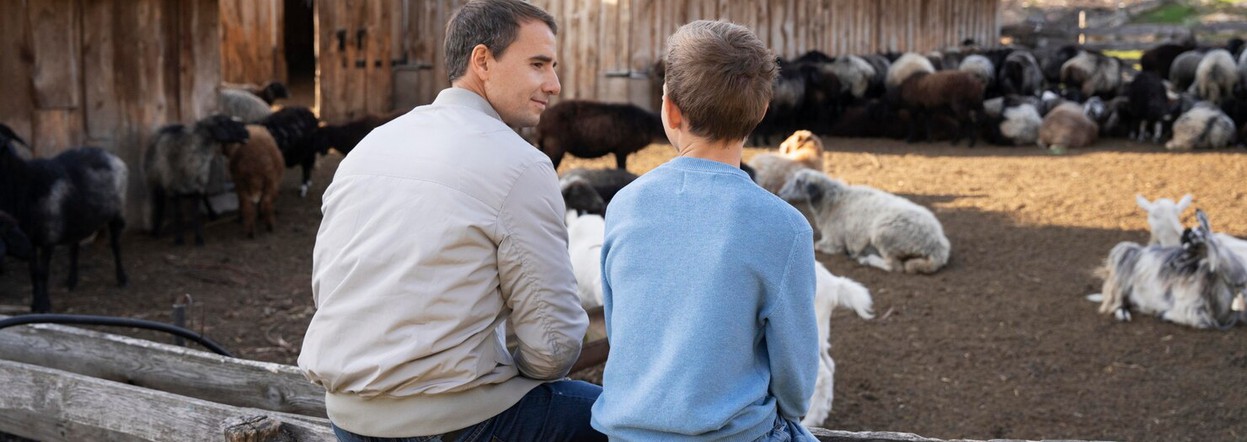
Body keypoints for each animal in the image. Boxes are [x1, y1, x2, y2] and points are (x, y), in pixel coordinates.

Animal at [0, 122, 128, 312]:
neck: (24, 185)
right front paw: (35, 304)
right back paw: (71, 281)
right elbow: (33, 273)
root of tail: (109, 154)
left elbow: (42, 273)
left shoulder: (48, 237)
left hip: (117, 212)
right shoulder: (28, 239)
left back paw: (122, 278)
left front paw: (43, 305)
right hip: (78, 219)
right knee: (74, 246)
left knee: (115, 244)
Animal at [145, 114, 250, 244]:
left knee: (204, 196)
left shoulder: (198, 185)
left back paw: (212, 214)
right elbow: (178, 214)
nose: (247, 133)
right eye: (226, 123)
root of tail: (169, 125)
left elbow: (195, 212)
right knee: (159, 202)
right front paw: (178, 239)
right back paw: (156, 230)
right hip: (156, 179)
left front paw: (199, 238)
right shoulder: (173, 187)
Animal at [773, 168, 947, 272]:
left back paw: (866, 259)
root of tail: (937, 245)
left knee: (894, 266)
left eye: (798, 182)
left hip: (884, 234)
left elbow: (819, 246)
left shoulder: (834, 240)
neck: (832, 202)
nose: (781, 193)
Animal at [1102, 209, 1247, 327]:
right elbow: (1200, 321)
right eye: (1183, 244)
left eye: (1193, 248)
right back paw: (1123, 313)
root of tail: (1140, 252)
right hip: (1122, 258)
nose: (1170, 264)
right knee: (1116, 300)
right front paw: (1164, 314)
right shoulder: (1190, 308)